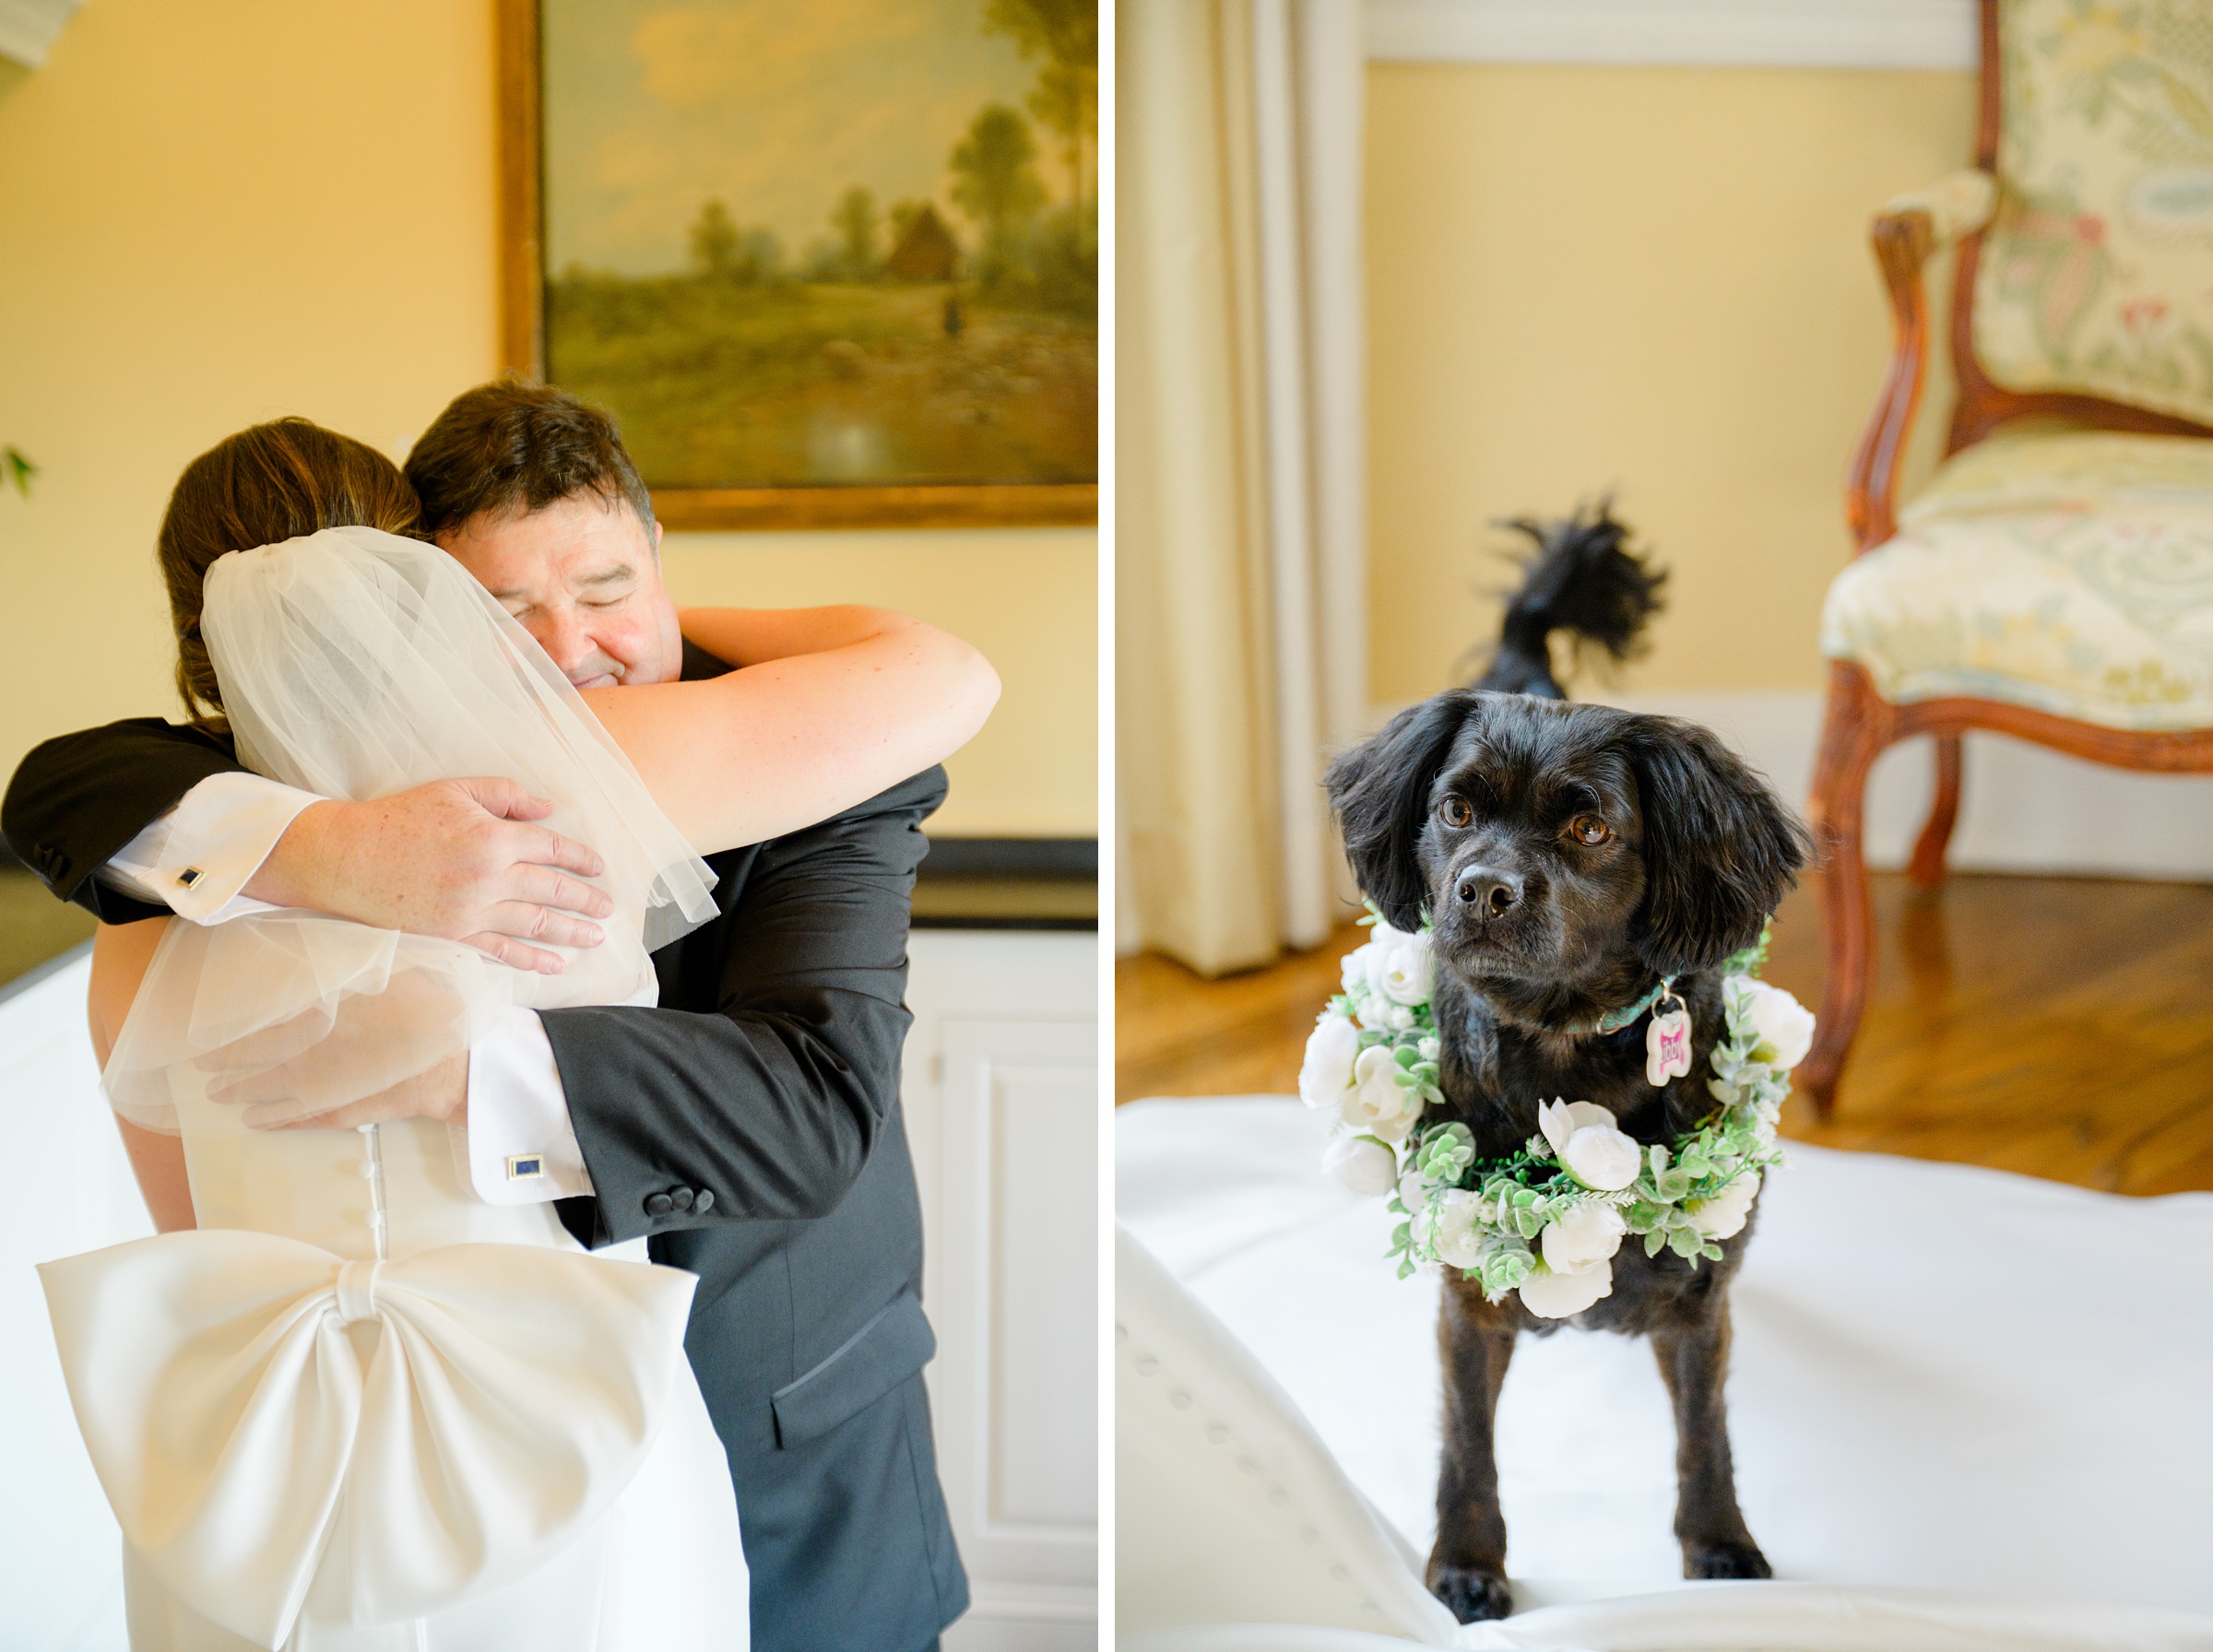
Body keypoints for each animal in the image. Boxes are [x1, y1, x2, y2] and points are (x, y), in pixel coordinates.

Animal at [1319, 511, 1805, 1619]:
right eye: (1455, 811)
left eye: (1590, 827)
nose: (1484, 890)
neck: (1561, 1049)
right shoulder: (1468, 1305)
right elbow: (1468, 1445)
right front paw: (1466, 1565)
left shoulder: (1696, 1307)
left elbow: (1706, 1437)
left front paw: (1719, 1548)